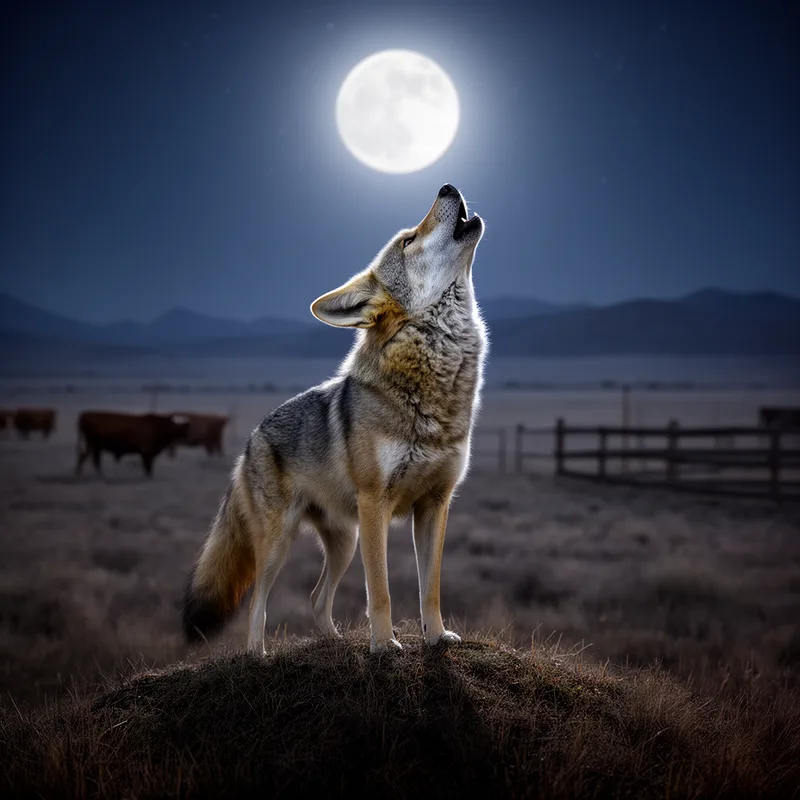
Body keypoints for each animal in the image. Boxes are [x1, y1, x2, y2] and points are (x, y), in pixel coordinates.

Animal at [181, 184, 487, 654]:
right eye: (408, 241)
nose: (447, 187)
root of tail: (252, 437)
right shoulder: (376, 504)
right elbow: (380, 591)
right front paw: (384, 646)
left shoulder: (436, 504)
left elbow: (430, 589)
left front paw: (436, 637)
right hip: (280, 545)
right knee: (257, 604)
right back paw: (258, 655)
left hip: (344, 542)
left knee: (315, 597)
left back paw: (333, 642)